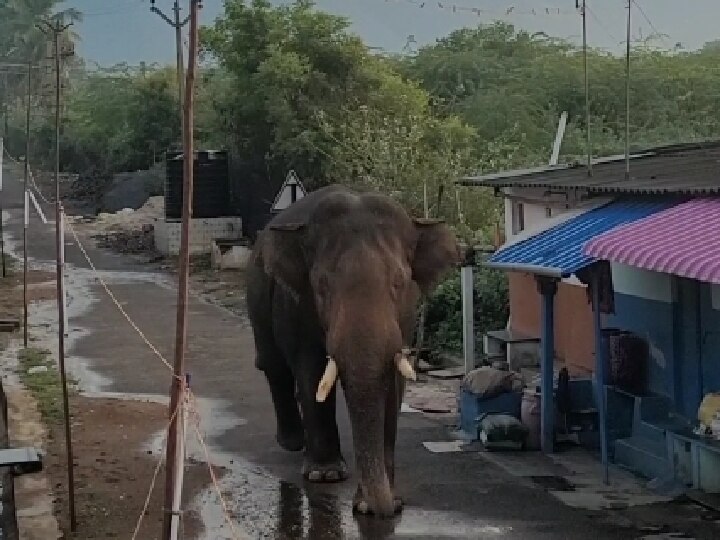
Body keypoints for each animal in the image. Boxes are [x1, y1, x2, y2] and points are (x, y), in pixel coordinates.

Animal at [246, 184, 462, 516]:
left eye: (400, 283)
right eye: (321, 286)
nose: (389, 509)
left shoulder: (405, 322)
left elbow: (392, 383)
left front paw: (378, 502)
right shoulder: (297, 305)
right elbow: (310, 369)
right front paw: (326, 475)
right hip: (257, 299)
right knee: (274, 366)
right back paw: (293, 443)